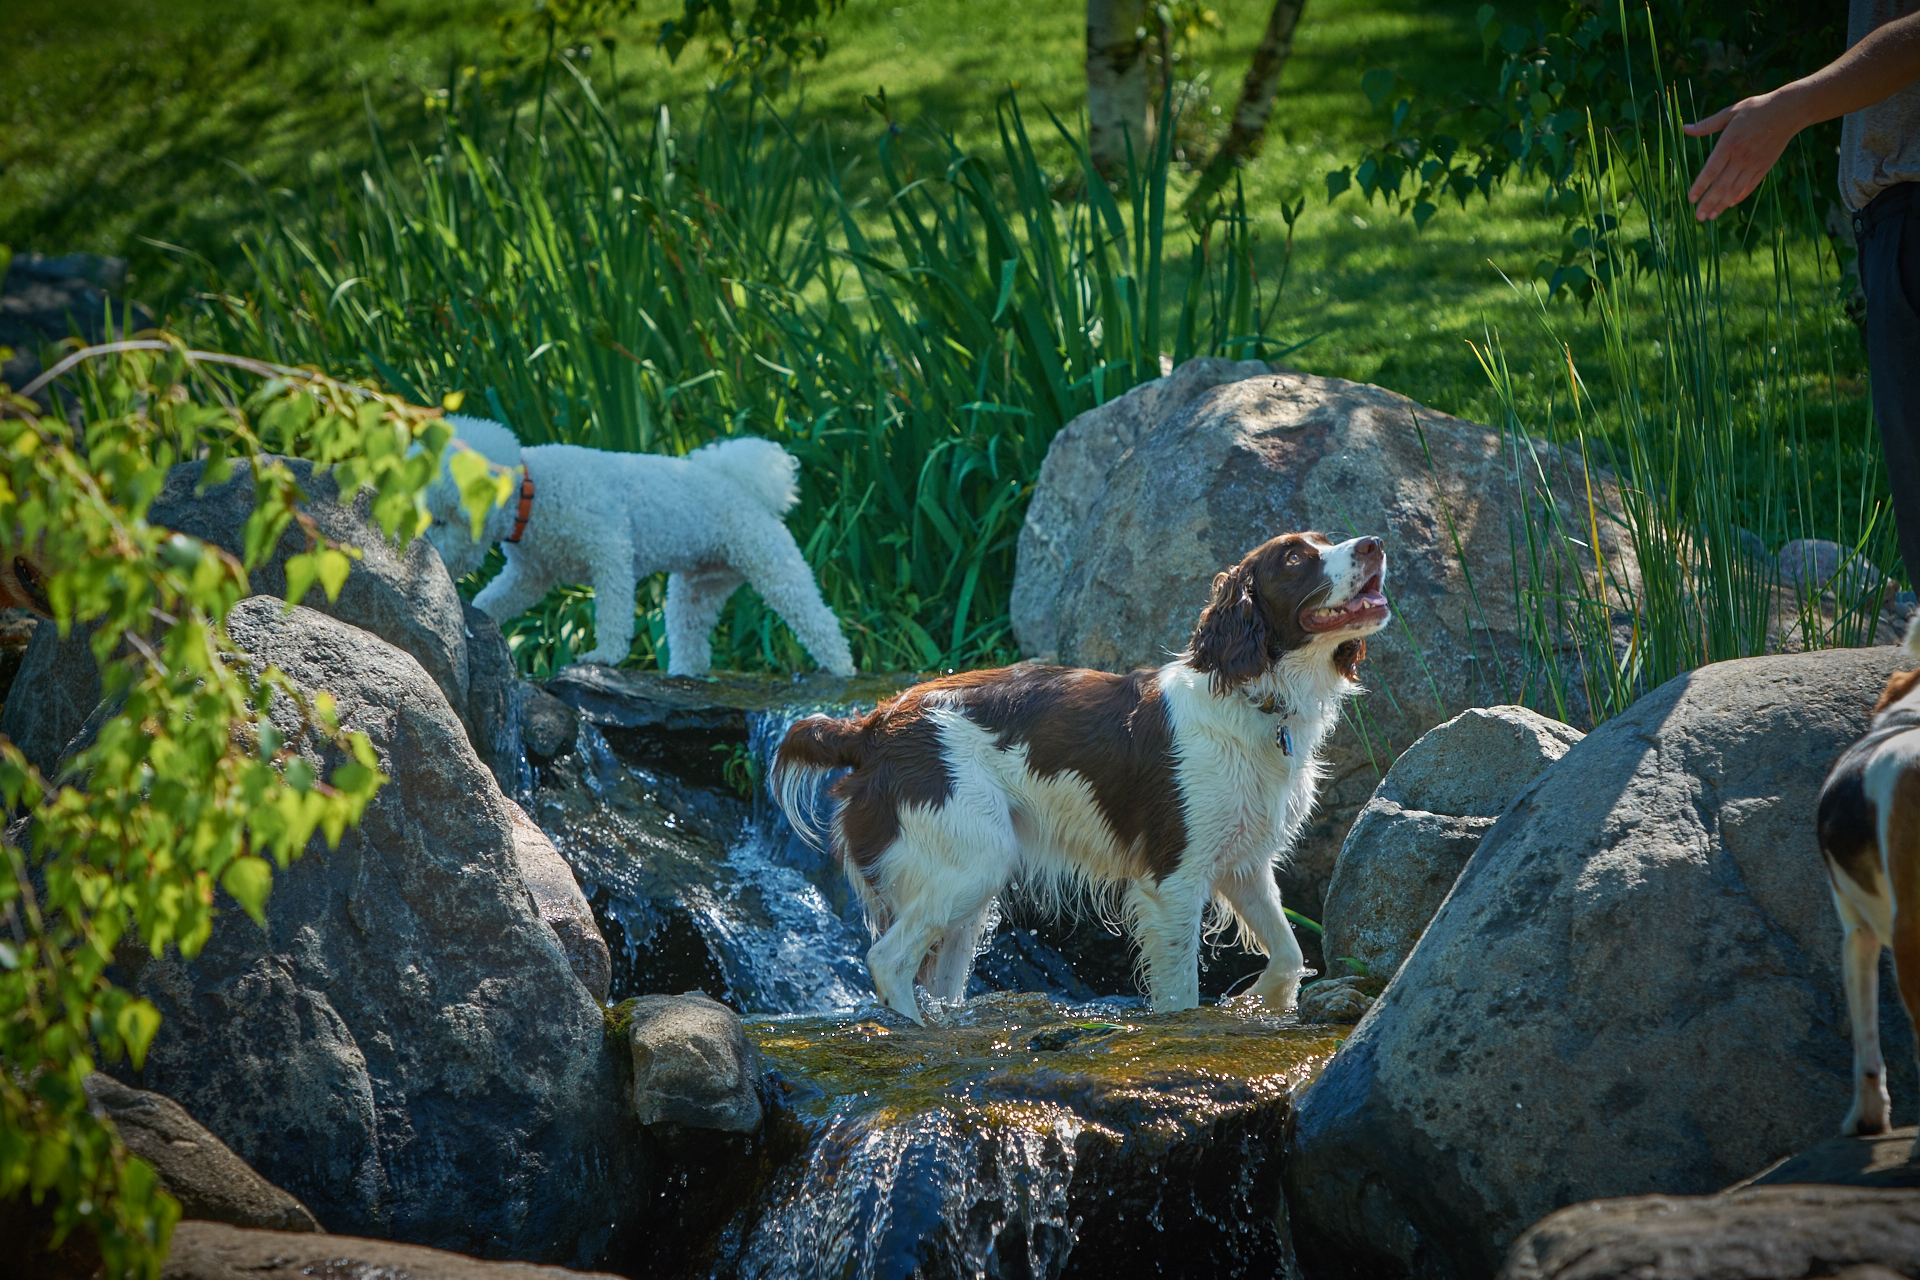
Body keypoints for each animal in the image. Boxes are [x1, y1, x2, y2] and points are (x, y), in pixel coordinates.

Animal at [432, 418, 860, 679]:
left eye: (441, 521)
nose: (427, 549)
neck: (533, 492)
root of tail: (741, 484)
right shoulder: (530, 575)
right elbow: (496, 599)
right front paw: (475, 617)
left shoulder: (610, 552)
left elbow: (614, 612)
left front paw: (604, 655)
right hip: (697, 587)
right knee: (691, 634)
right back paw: (685, 672)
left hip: (773, 562)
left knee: (817, 618)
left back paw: (842, 668)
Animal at [771, 529, 1390, 1020]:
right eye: (1294, 557)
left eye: (1325, 539)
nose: (1374, 544)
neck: (1256, 700)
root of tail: (871, 727)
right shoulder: (1175, 877)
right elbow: (1180, 994)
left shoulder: (1242, 862)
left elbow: (1289, 954)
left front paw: (1259, 1001)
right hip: (973, 859)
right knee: (886, 959)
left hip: (967, 889)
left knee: (936, 978)